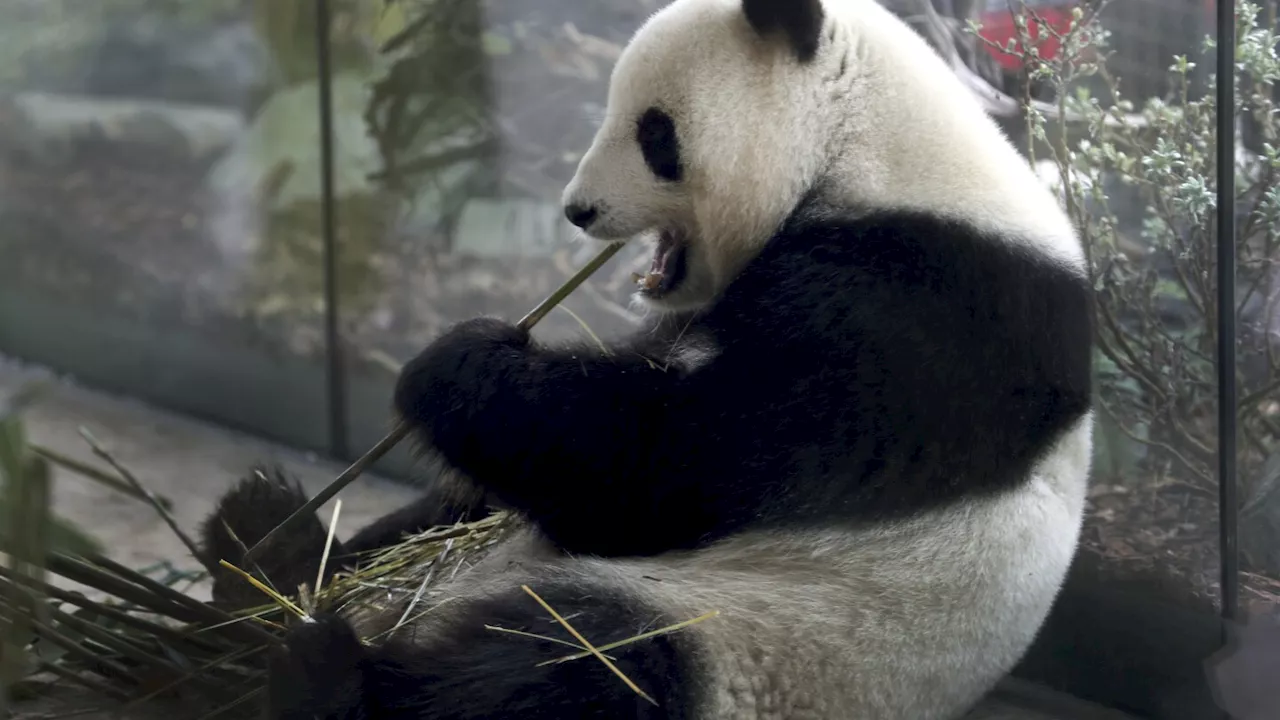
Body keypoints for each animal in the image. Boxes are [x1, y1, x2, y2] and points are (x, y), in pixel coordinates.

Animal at [197, 0, 1090, 712]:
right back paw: (264, 540)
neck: (871, 145)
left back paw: (325, 670)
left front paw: (453, 362)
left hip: (743, 634)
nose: (578, 211)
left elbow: (676, 468)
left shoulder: (917, 319)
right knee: (443, 525)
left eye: (654, 132)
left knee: (572, 667)